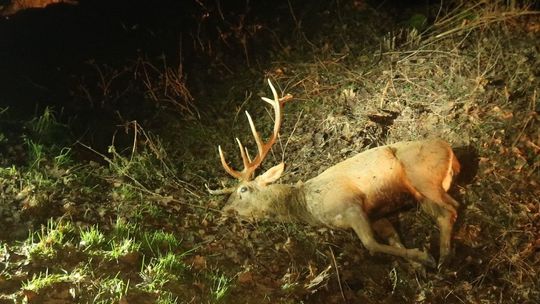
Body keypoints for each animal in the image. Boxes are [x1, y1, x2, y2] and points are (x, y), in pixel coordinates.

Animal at [209, 79, 462, 268]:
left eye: (243, 189)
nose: (224, 210)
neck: (308, 206)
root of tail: (451, 152)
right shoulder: (375, 214)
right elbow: (394, 239)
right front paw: (416, 262)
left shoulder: (350, 205)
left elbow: (371, 245)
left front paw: (423, 256)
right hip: (421, 191)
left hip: (422, 176)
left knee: (452, 208)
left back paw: (443, 258)